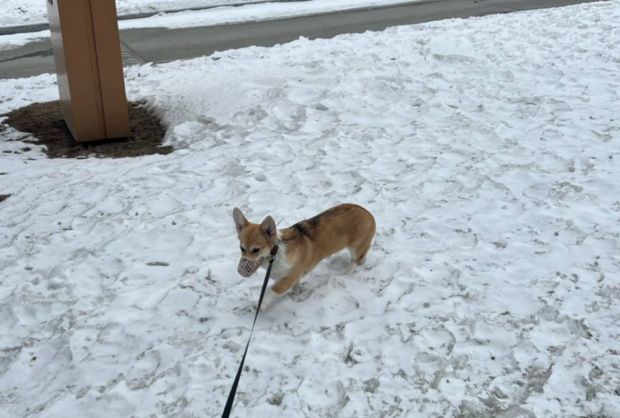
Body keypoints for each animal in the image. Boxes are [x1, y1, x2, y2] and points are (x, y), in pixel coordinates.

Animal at [234, 204, 376, 308]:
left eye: (256, 250)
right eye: (242, 249)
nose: (240, 271)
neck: (276, 254)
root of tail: (369, 213)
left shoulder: (287, 278)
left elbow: (270, 289)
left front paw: (260, 304)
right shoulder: (293, 276)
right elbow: (296, 285)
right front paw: (297, 292)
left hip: (355, 247)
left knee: (353, 260)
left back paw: (347, 272)